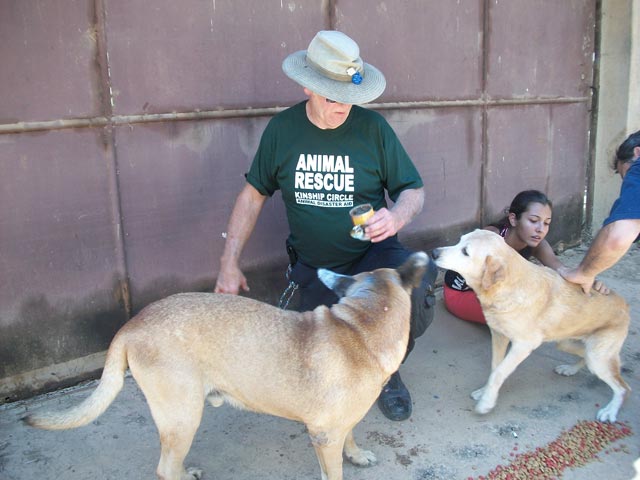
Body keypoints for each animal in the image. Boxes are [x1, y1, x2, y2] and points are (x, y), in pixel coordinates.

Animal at [23, 253, 430, 478]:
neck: (362, 325)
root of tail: (130, 325)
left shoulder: (340, 423)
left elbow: (351, 435)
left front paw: (357, 454)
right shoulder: (324, 436)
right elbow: (334, 469)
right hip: (184, 415)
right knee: (164, 469)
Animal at [430, 231, 632, 422]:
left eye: (465, 251)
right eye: (459, 240)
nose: (434, 252)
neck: (507, 287)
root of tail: (624, 303)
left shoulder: (524, 344)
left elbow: (500, 372)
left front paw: (486, 402)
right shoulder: (499, 336)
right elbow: (495, 367)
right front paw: (485, 391)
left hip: (597, 356)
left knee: (624, 387)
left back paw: (610, 410)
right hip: (569, 344)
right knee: (585, 357)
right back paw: (570, 369)